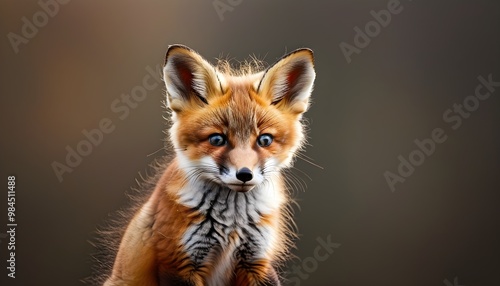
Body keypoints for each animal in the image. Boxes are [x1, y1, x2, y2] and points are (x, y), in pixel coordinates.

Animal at [103, 45, 314, 286]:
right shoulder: (179, 264)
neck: (232, 224)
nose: (244, 175)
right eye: (216, 139)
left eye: (265, 140)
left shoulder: (257, 261)